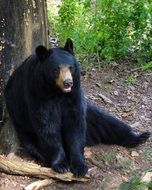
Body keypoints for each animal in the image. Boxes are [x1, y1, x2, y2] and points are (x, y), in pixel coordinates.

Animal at [4, 38, 150, 177]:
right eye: (56, 69)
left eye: (71, 67)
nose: (68, 82)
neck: (57, 92)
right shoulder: (37, 91)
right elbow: (47, 124)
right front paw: (61, 165)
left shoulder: (74, 94)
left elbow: (75, 124)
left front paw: (79, 166)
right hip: (22, 124)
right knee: (32, 143)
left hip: (91, 115)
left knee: (109, 123)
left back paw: (140, 137)